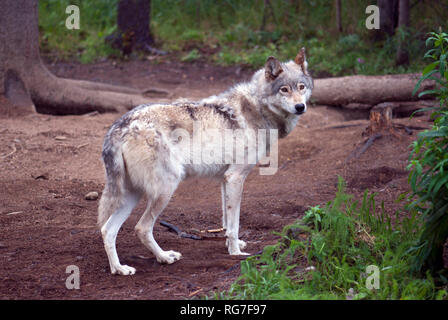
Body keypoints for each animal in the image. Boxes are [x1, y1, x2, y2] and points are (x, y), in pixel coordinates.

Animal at [98, 48, 316, 276]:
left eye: (301, 87)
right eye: (284, 89)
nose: (300, 106)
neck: (258, 107)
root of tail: (119, 126)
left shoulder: (225, 179)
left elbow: (227, 221)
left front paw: (232, 244)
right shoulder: (235, 177)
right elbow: (234, 223)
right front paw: (236, 252)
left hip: (133, 195)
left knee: (107, 230)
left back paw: (119, 269)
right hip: (165, 189)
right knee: (142, 228)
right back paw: (165, 257)